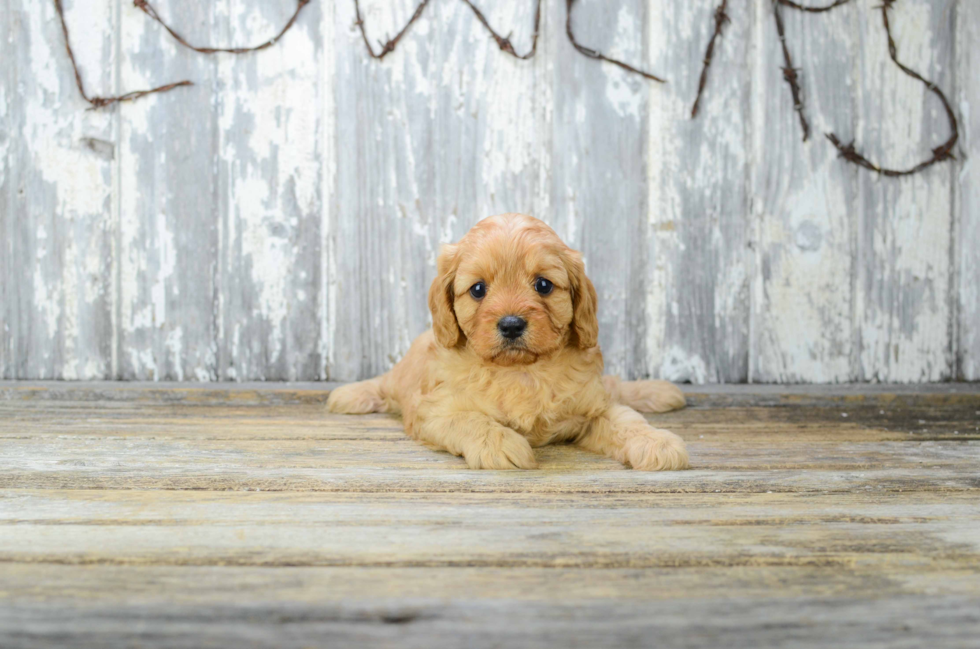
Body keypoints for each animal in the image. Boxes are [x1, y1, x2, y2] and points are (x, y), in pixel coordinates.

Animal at [330, 214, 688, 470]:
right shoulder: (433, 410)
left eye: (543, 285)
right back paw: (349, 395)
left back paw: (660, 391)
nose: (512, 324)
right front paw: (501, 444)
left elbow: (626, 420)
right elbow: (469, 419)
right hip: (399, 381)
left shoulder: (594, 405)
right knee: (382, 385)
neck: (521, 370)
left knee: (616, 387)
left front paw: (657, 442)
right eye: (478, 289)